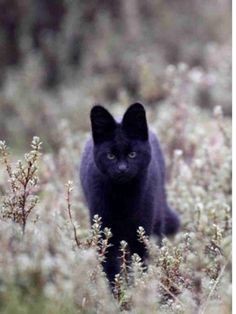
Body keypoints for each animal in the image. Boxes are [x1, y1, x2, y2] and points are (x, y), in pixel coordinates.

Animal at [80, 102, 180, 284]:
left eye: (132, 154)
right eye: (110, 156)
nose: (122, 169)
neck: (123, 198)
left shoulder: (141, 231)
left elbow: (139, 265)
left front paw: (137, 288)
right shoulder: (105, 231)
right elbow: (111, 268)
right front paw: (116, 290)